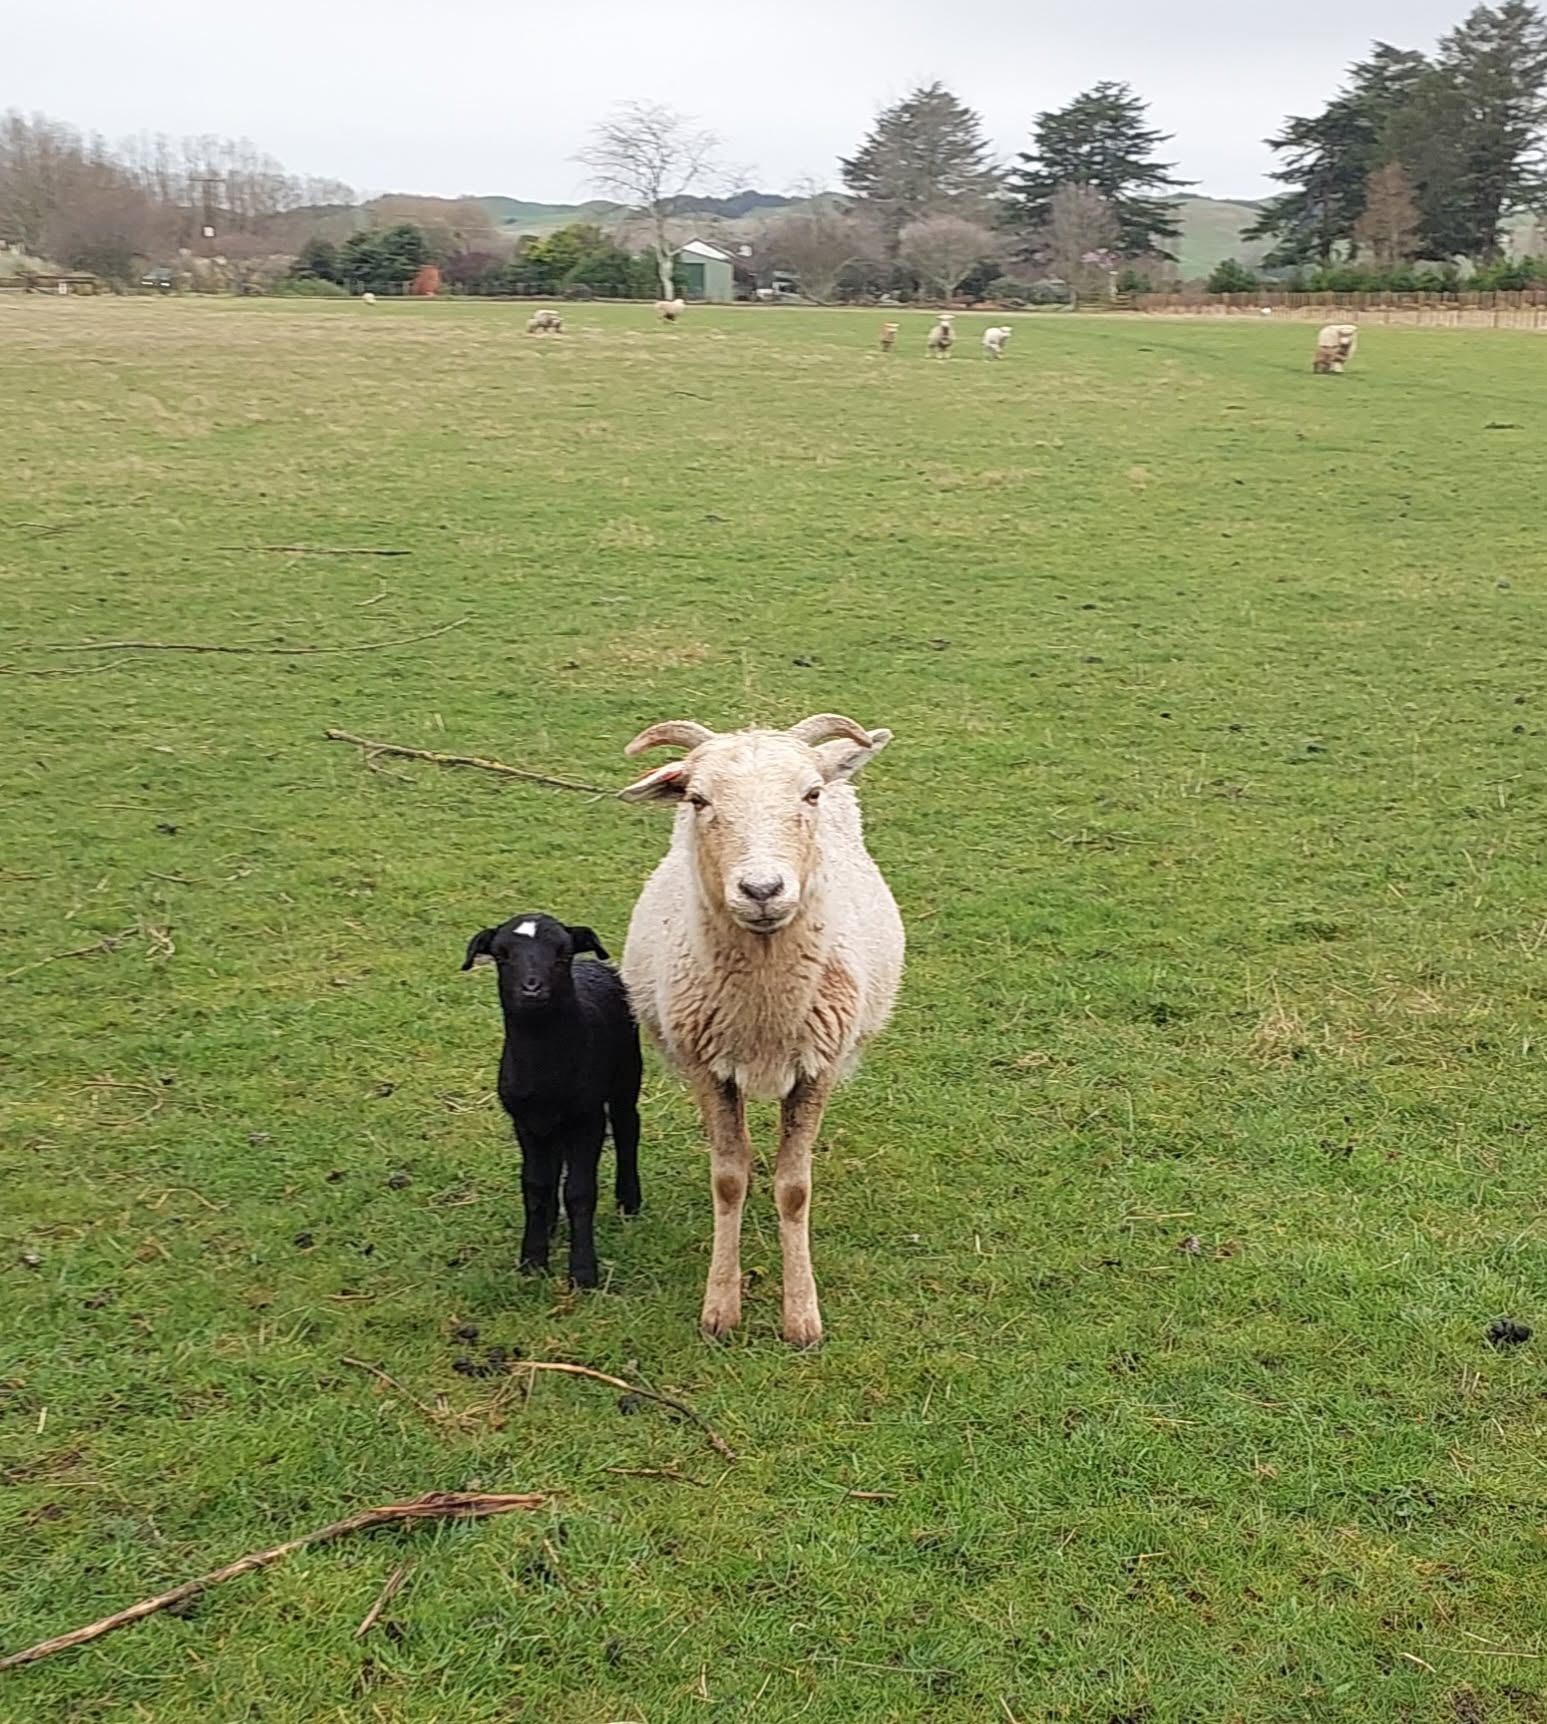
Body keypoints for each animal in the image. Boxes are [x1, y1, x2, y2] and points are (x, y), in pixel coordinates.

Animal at [463, 913, 642, 1288]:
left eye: (562, 955)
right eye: (502, 956)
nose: (532, 988)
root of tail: (594, 964)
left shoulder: (587, 1118)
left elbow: (580, 1191)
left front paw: (584, 1273)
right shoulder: (525, 1122)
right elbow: (536, 1186)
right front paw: (532, 1260)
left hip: (626, 1074)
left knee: (627, 1128)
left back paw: (629, 1201)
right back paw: (550, 1224)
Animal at [620, 714, 904, 1347]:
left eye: (810, 795)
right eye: (698, 800)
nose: (762, 891)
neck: (766, 1011)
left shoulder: (818, 1068)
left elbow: (794, 1188)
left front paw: (802, 1317)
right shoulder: (708, 1069)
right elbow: (727, 1179)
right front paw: (720, 1309)